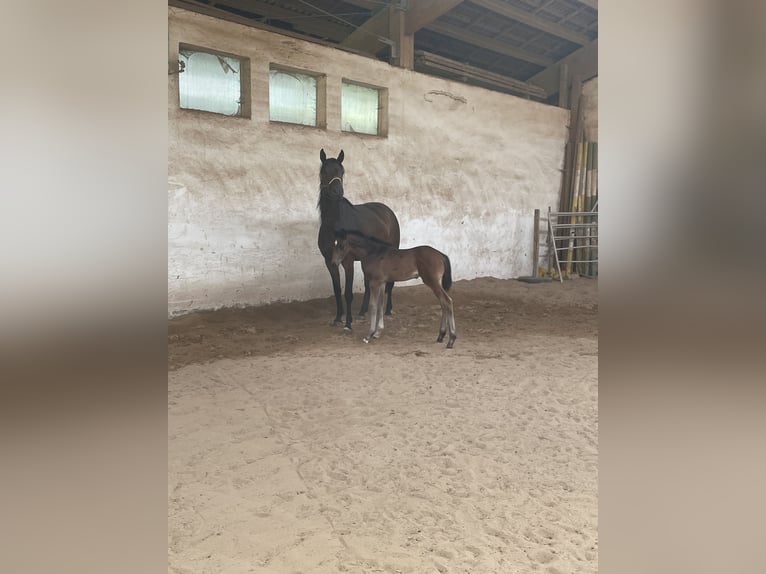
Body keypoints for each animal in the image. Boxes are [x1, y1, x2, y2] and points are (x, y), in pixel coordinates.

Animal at [317, 149, 400, 330]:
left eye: (342, 172)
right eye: (324, 171)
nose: (337, 192)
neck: (334, 224)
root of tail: (388, 212)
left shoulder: (347, 261)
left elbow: (348, 293)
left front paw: (348, 323)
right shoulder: (329, 261)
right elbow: (337, 290)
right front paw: (338, 317)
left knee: (389, 283)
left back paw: (388, 310)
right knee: (369, 284)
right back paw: (363, 312)